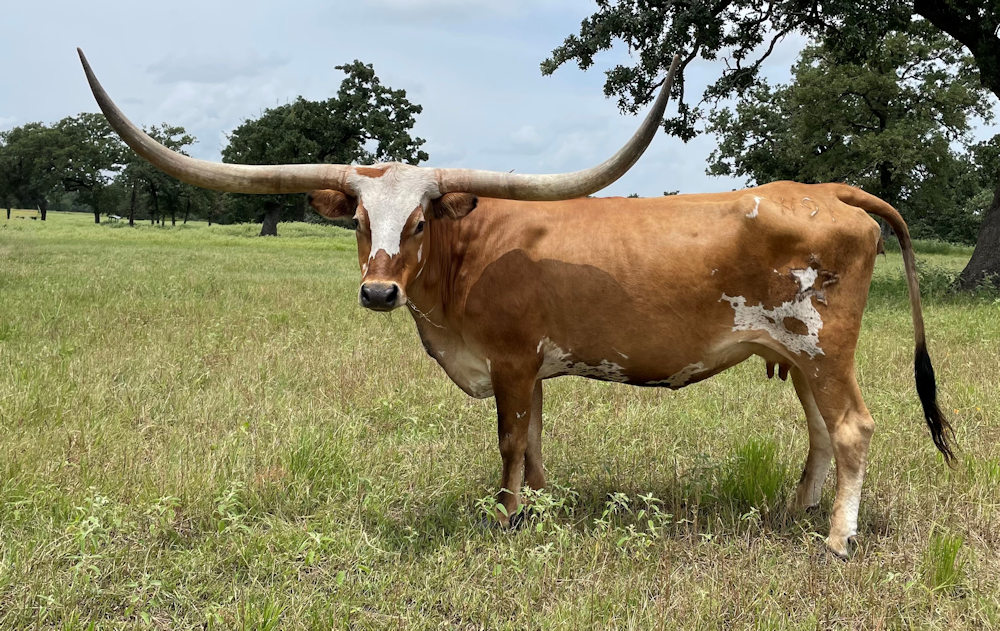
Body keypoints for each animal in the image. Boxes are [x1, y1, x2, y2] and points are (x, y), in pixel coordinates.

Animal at [79, 49, 954, 559]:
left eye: (421, 218)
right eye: (360, 220)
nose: (378, 288)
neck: (465, 258)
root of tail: (827, 187)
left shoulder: (506, 360)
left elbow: (507, 440)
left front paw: (505, 517)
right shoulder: (532, 368)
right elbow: (534, 441)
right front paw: (539, 504)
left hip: (824, 346)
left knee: (852, 427)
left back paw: (835, 539)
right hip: (797, 354)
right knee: (820, 431)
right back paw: (794, 513)